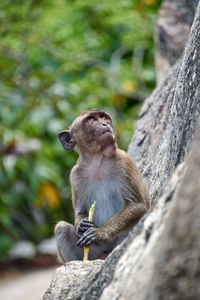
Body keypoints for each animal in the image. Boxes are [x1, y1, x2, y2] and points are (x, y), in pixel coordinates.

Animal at [54, 109, 149, 262]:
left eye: (104, 117)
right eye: (92, 120)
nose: (105, 124)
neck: (98, 161)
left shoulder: (124, 162)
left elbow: (137, 205)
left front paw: (100, 232)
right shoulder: (75, 176)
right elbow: (80, 211)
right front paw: (81, 225)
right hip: (95, 251)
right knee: (61, 228)